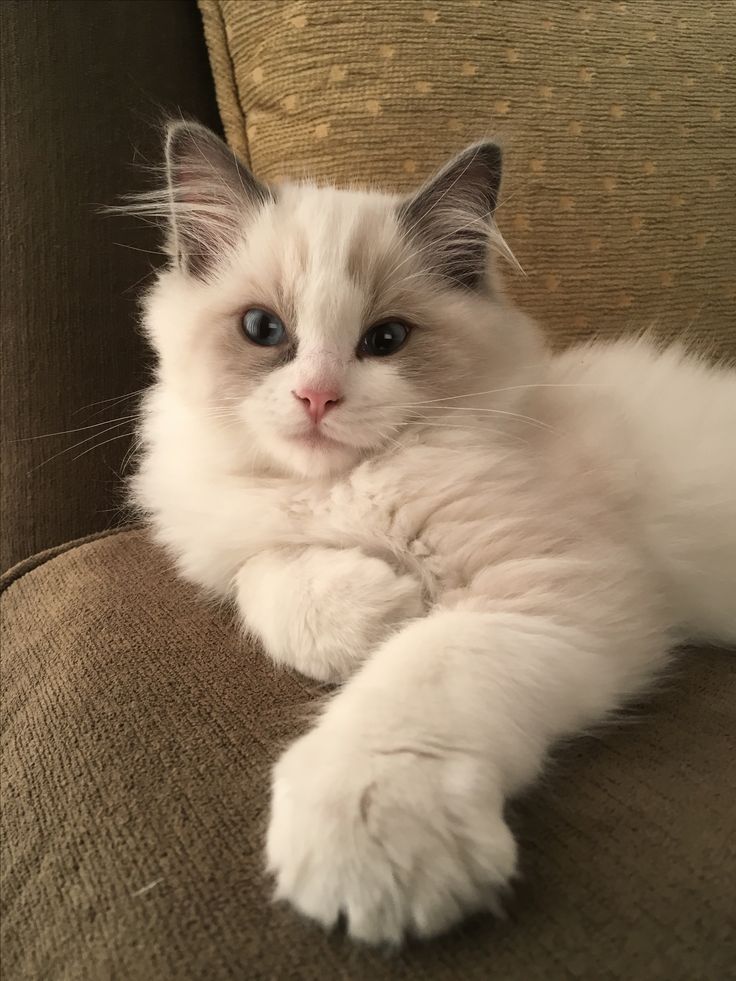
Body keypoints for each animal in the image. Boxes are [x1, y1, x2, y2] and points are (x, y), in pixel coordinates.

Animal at [132, 120, 736, 940]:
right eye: (264, 330)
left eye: (386, 339)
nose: (317, 397)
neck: (340, 488)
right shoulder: (236, 539)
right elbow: (271, 578)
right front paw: (380, 610)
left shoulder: (549, 586)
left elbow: (417, 677)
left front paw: (368, 832)